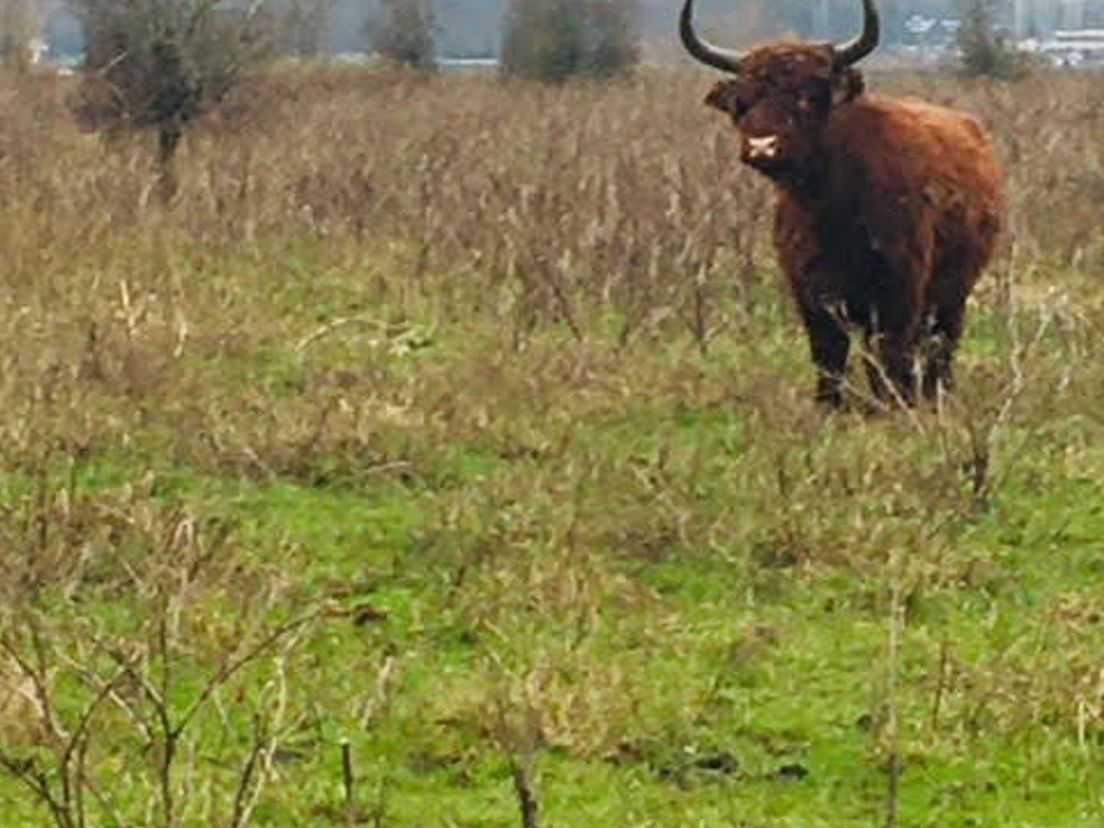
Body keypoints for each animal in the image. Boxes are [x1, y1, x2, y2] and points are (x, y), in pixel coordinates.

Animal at [675, 0, 1006, 406]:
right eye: (744, 100)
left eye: (805, 96)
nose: (762, 146)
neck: (831, 208)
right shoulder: (811, 293)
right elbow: (829, 355)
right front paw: (828, 405)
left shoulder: (899, 289)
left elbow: (890, 353)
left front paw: (892, 403)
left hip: (953, 293)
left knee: (940, 344)